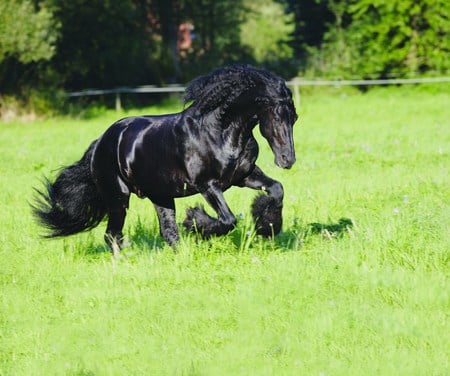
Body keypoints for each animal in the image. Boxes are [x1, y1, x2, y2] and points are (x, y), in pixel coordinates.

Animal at [33, 65, 298, 253]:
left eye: (294, 117)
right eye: (276, 115)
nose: (287, 159)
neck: (220, 131)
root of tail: (101, 142)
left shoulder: (244, 176)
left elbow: (277, 189)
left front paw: (268, 227)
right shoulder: (208, 186)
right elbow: (228, 220)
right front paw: (195, 221)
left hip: (160, 196)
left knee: (168, 232)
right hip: (118, 198)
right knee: (112, 235)